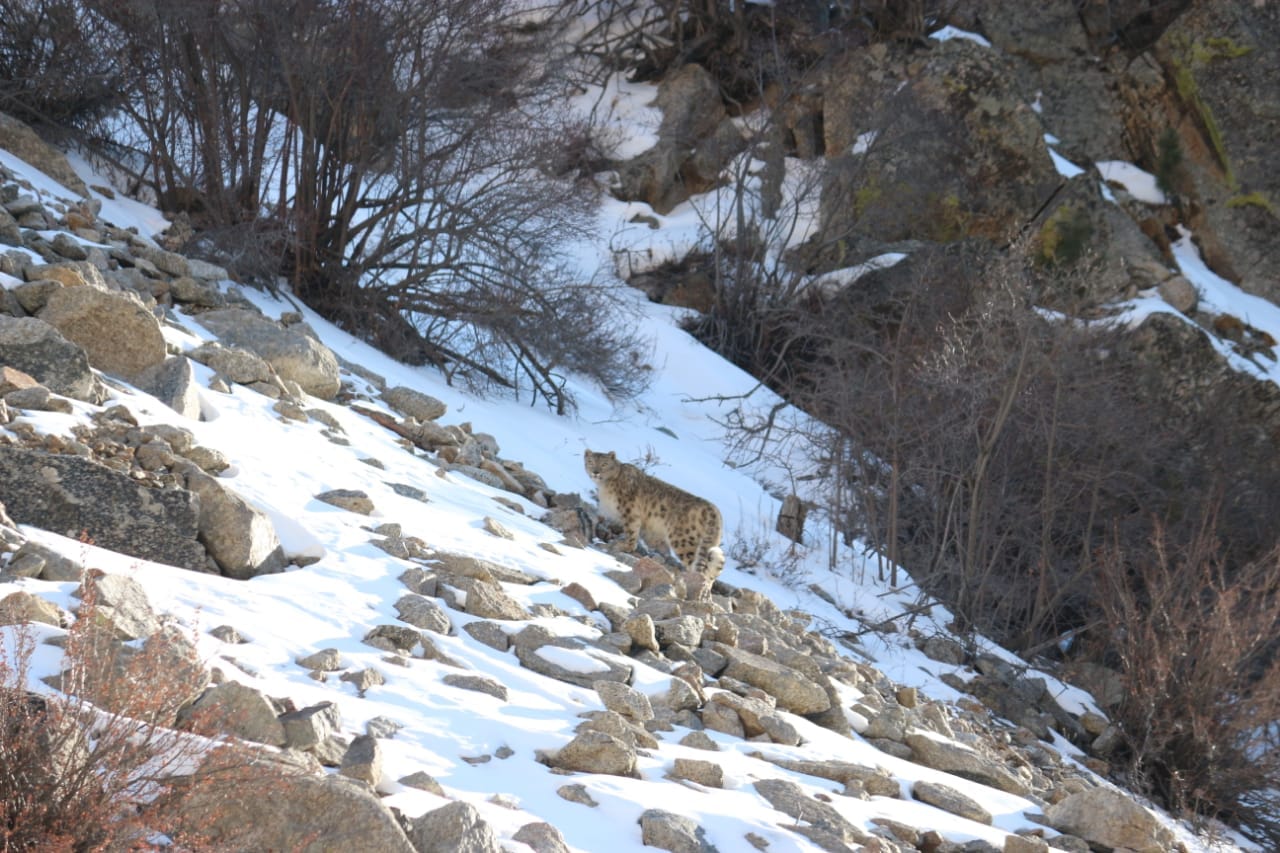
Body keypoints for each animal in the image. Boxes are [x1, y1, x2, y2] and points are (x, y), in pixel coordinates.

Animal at [583, 449, 725, 586]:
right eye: (591, 462)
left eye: (604, 464)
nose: (595, 472)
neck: (605, 486)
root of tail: (713, 509)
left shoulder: (630, 511)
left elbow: (631, 532)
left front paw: (623, 546)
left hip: (683, 541)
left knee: (699, 569)